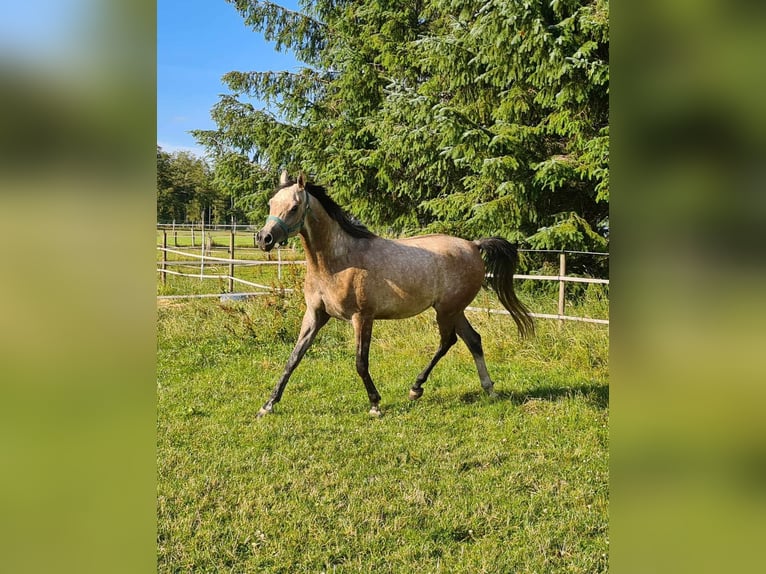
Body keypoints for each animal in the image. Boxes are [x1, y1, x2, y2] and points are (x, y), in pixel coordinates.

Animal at [256, 172, 536, 418]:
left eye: (294, 207)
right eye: (271, 203)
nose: (264, 238)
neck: (338, 262)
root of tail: (473, 245)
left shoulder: (362, 317)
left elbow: (360, 362)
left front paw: (375, 405)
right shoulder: (315, 315)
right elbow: (294, 358)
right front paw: (267, 406)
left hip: (446, 310)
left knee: (449, 342)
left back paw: (416, 388)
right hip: (454, 310)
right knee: (473, 340)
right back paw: (488, 389)